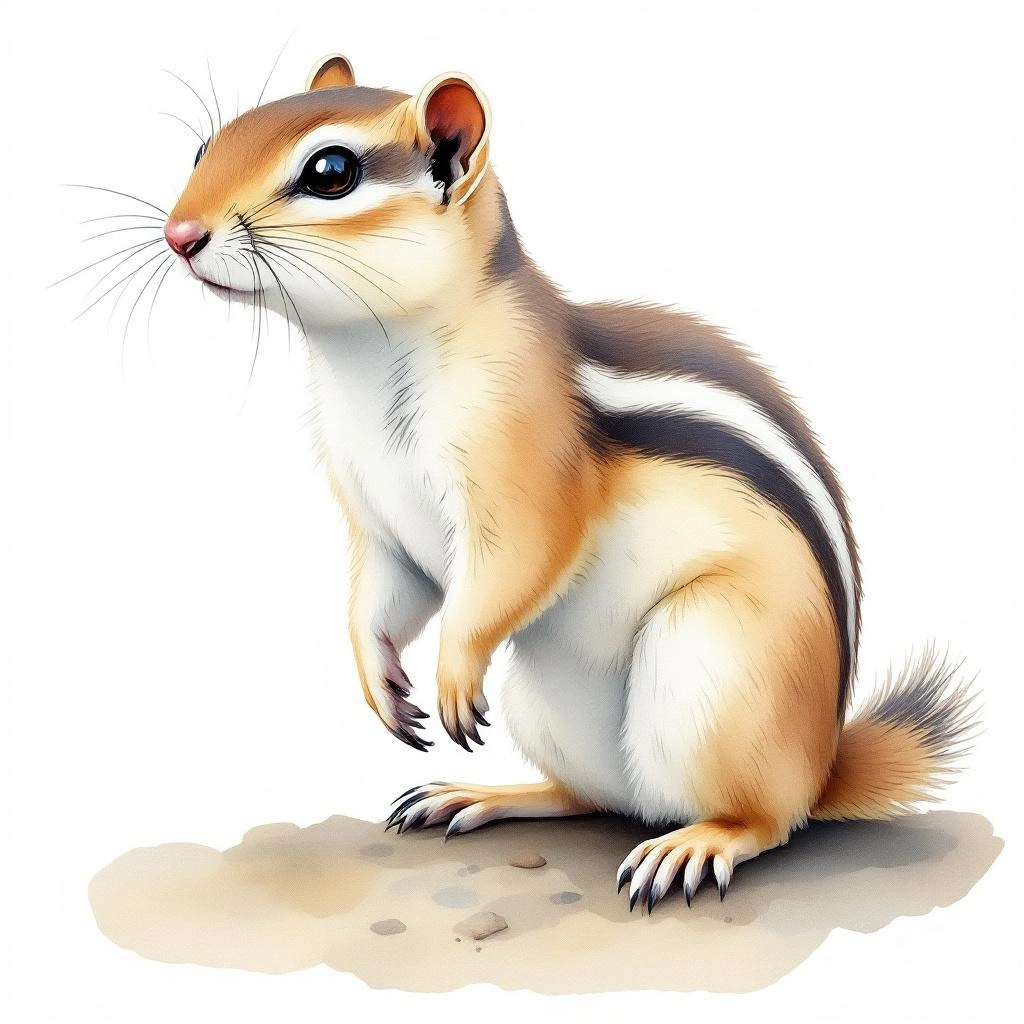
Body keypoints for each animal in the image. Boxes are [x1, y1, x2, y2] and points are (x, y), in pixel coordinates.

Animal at [162, 53, 977, 910]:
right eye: (204, 148)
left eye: (330, 172)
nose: (179, 235)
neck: (363, 359)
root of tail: (823, 762)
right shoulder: (377, 518)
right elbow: (387, 591)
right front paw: (379, 682)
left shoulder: (524, 456)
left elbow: (521, 559)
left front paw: (451, 673)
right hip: (550, 699)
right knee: (594, 796)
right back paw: (483, 795)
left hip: (714, 666)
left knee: (764, 817)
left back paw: (694, 843)